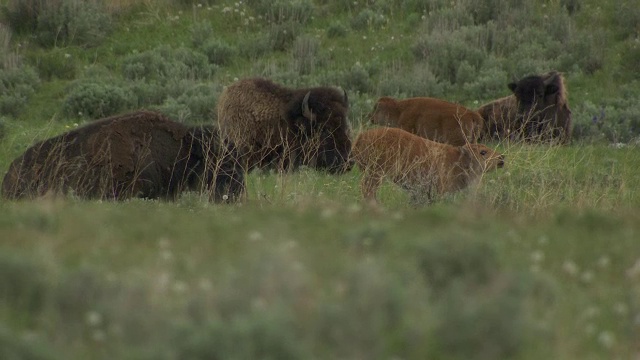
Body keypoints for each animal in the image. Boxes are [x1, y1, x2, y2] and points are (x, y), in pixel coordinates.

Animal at [350, 127, 504, 205]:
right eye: (483, 152)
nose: (501, 158)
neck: (458, 159)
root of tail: (361, 137)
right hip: (377, 172)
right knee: (368, 188)